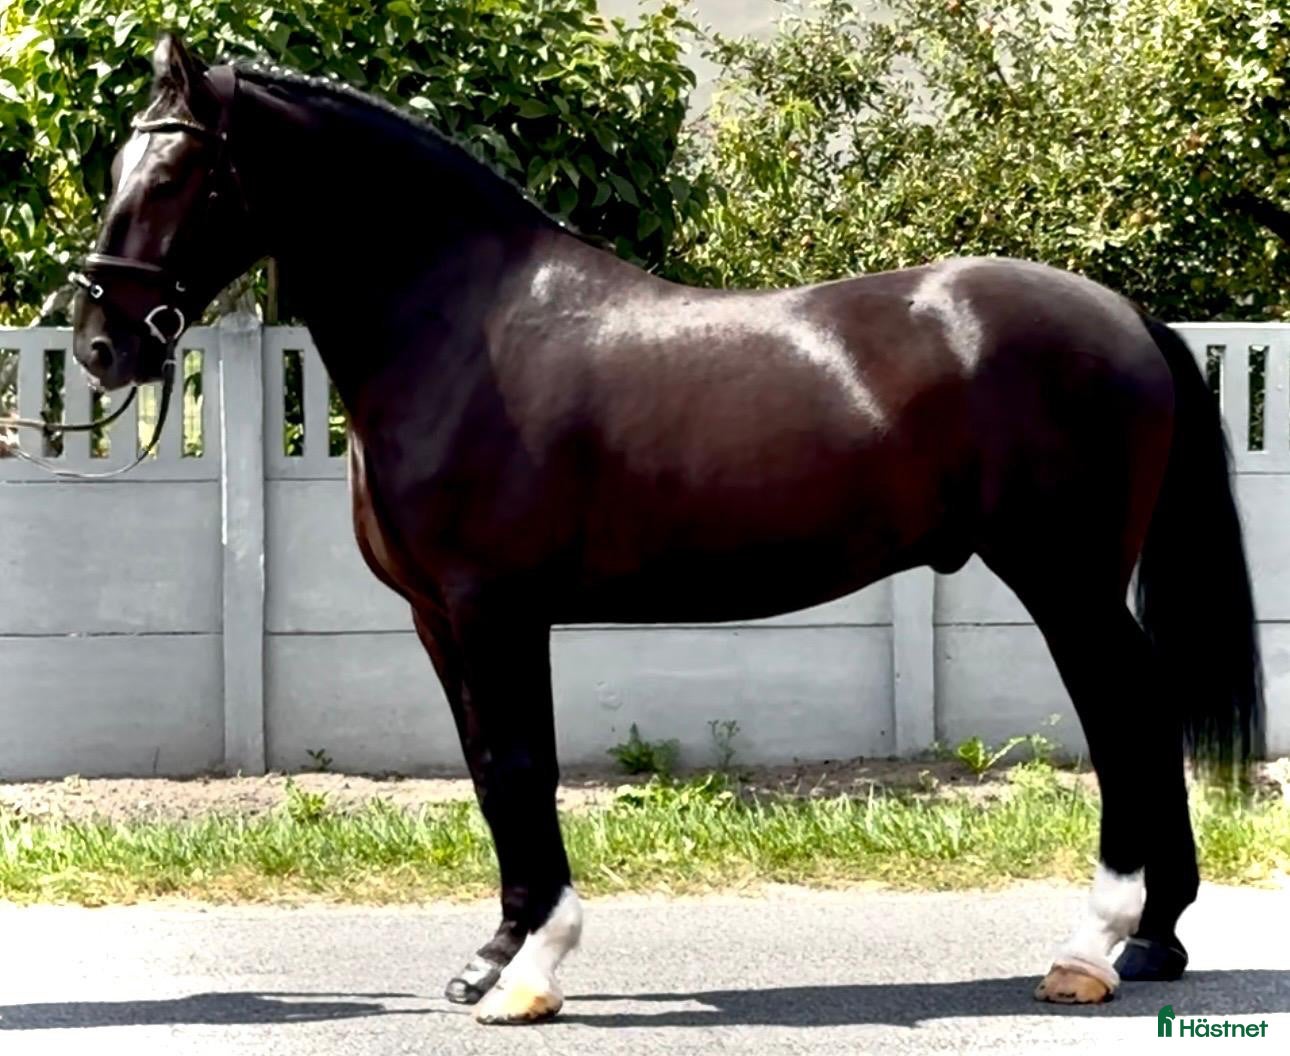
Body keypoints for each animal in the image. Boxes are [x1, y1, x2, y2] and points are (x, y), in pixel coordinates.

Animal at [70, 32, 1263, 1024]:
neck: (459, 328)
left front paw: (536, 966)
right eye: (117, 168)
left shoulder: (496, 609)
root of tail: (1124, 316)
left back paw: (1095, 945)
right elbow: (488, 772)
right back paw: (1156, 941)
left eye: (173, 176)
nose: (98, 344)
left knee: (1126, 719)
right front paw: (493, 957)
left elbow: (519, 765)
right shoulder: (438, 619)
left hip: (1065, 581)